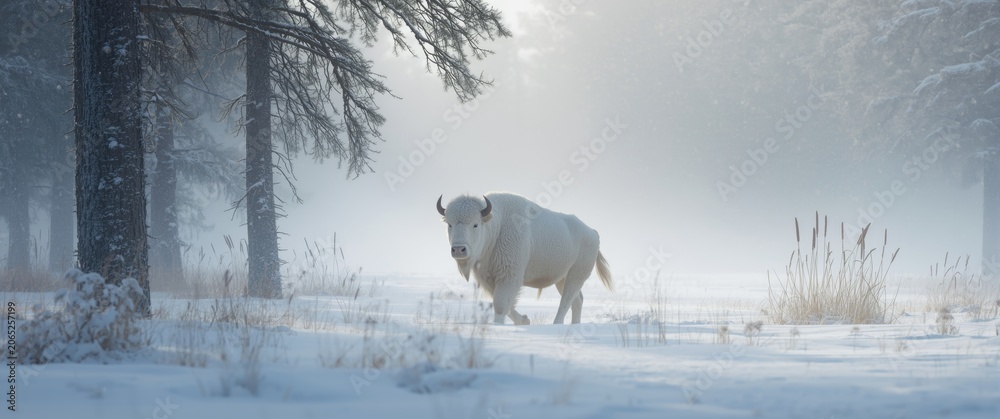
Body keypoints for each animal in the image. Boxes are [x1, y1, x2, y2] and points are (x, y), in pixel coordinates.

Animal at [436, 192, 613, 325]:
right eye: (449, 224)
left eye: (475, 224)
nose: (458, 249)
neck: (496, 225)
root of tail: (592, 232)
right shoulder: (489, 278)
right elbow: (506, 305)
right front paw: (524, 320)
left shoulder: (509, 276)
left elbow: (501, 305)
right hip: (562, 278)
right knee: (577, 301)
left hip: (576, 275)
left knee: (566, 301)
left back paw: (557, 323)